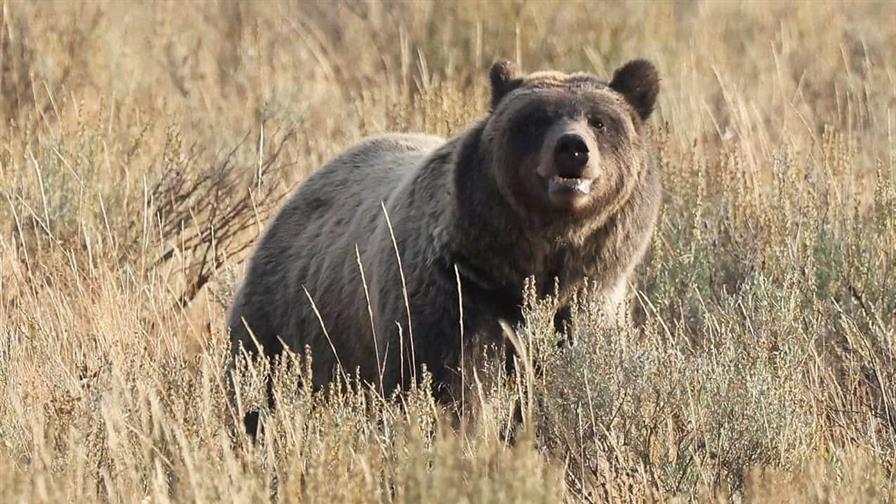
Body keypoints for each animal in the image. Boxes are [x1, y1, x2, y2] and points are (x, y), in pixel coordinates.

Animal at [227, 59, 662, 435]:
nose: (572, 148)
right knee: (257, 389)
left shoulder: (584, 302)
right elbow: (449, 385)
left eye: (599, 121)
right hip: (286, 323)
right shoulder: (453, 293)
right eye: (537, 119)